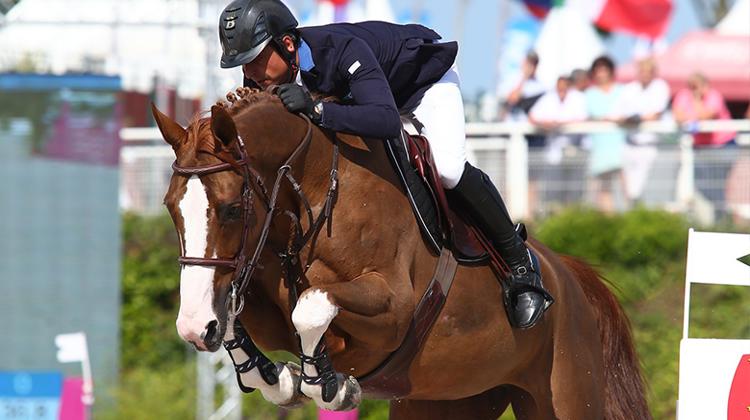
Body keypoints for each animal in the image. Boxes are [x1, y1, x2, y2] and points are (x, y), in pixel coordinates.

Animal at [154, 88, 652, 420]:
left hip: (566, 393)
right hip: (447, 399)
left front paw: (329, 385)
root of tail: (567, 274)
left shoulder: (393, 308)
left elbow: (311, 306)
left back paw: (526, 290)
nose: (192, 329)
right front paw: (280, 378)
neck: (315, 191)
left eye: (232, 209)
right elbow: (241, 318)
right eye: (170, 208)